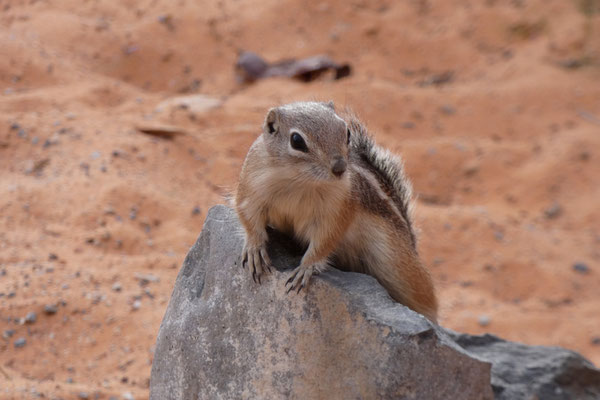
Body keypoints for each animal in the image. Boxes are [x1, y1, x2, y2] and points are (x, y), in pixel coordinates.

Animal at [237, 101, 438, 322]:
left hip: (397, 265)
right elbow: (248, 219)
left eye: (346, 132)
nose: (340, 167)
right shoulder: (251, 189)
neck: (299, 179)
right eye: (297, 141)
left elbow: (326, 239)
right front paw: (254, 248)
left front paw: (306, 267)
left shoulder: (337, 210)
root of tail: (411, 243)